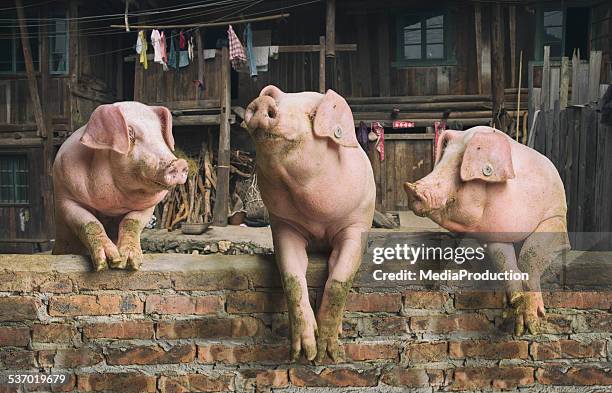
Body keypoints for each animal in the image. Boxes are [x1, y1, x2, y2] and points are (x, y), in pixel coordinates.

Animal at [51, 102, 188, 270]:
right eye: (130, 133)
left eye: (161, 134)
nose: (180, 163)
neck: (111, 207)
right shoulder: (66, 199)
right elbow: (90, 223)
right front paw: (108, 264)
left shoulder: (147, 208)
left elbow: (131, 222)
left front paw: (128, 264)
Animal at [244, 86, 372, 362]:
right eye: (280, 100)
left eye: (312, 114)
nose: (264, 101)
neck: (318, 223)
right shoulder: (284, 227)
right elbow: (292, 278)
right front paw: (304, 354)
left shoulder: (357, 225)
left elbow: (339, 280)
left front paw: (329, 354)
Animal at [404, 125, 572, 334]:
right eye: (442, 162)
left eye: (459, 168)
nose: (411, 189)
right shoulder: (494, 235)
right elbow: (504, 260)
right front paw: (515, 312)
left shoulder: (556, 217)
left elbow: (531, 254)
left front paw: (533, 327)